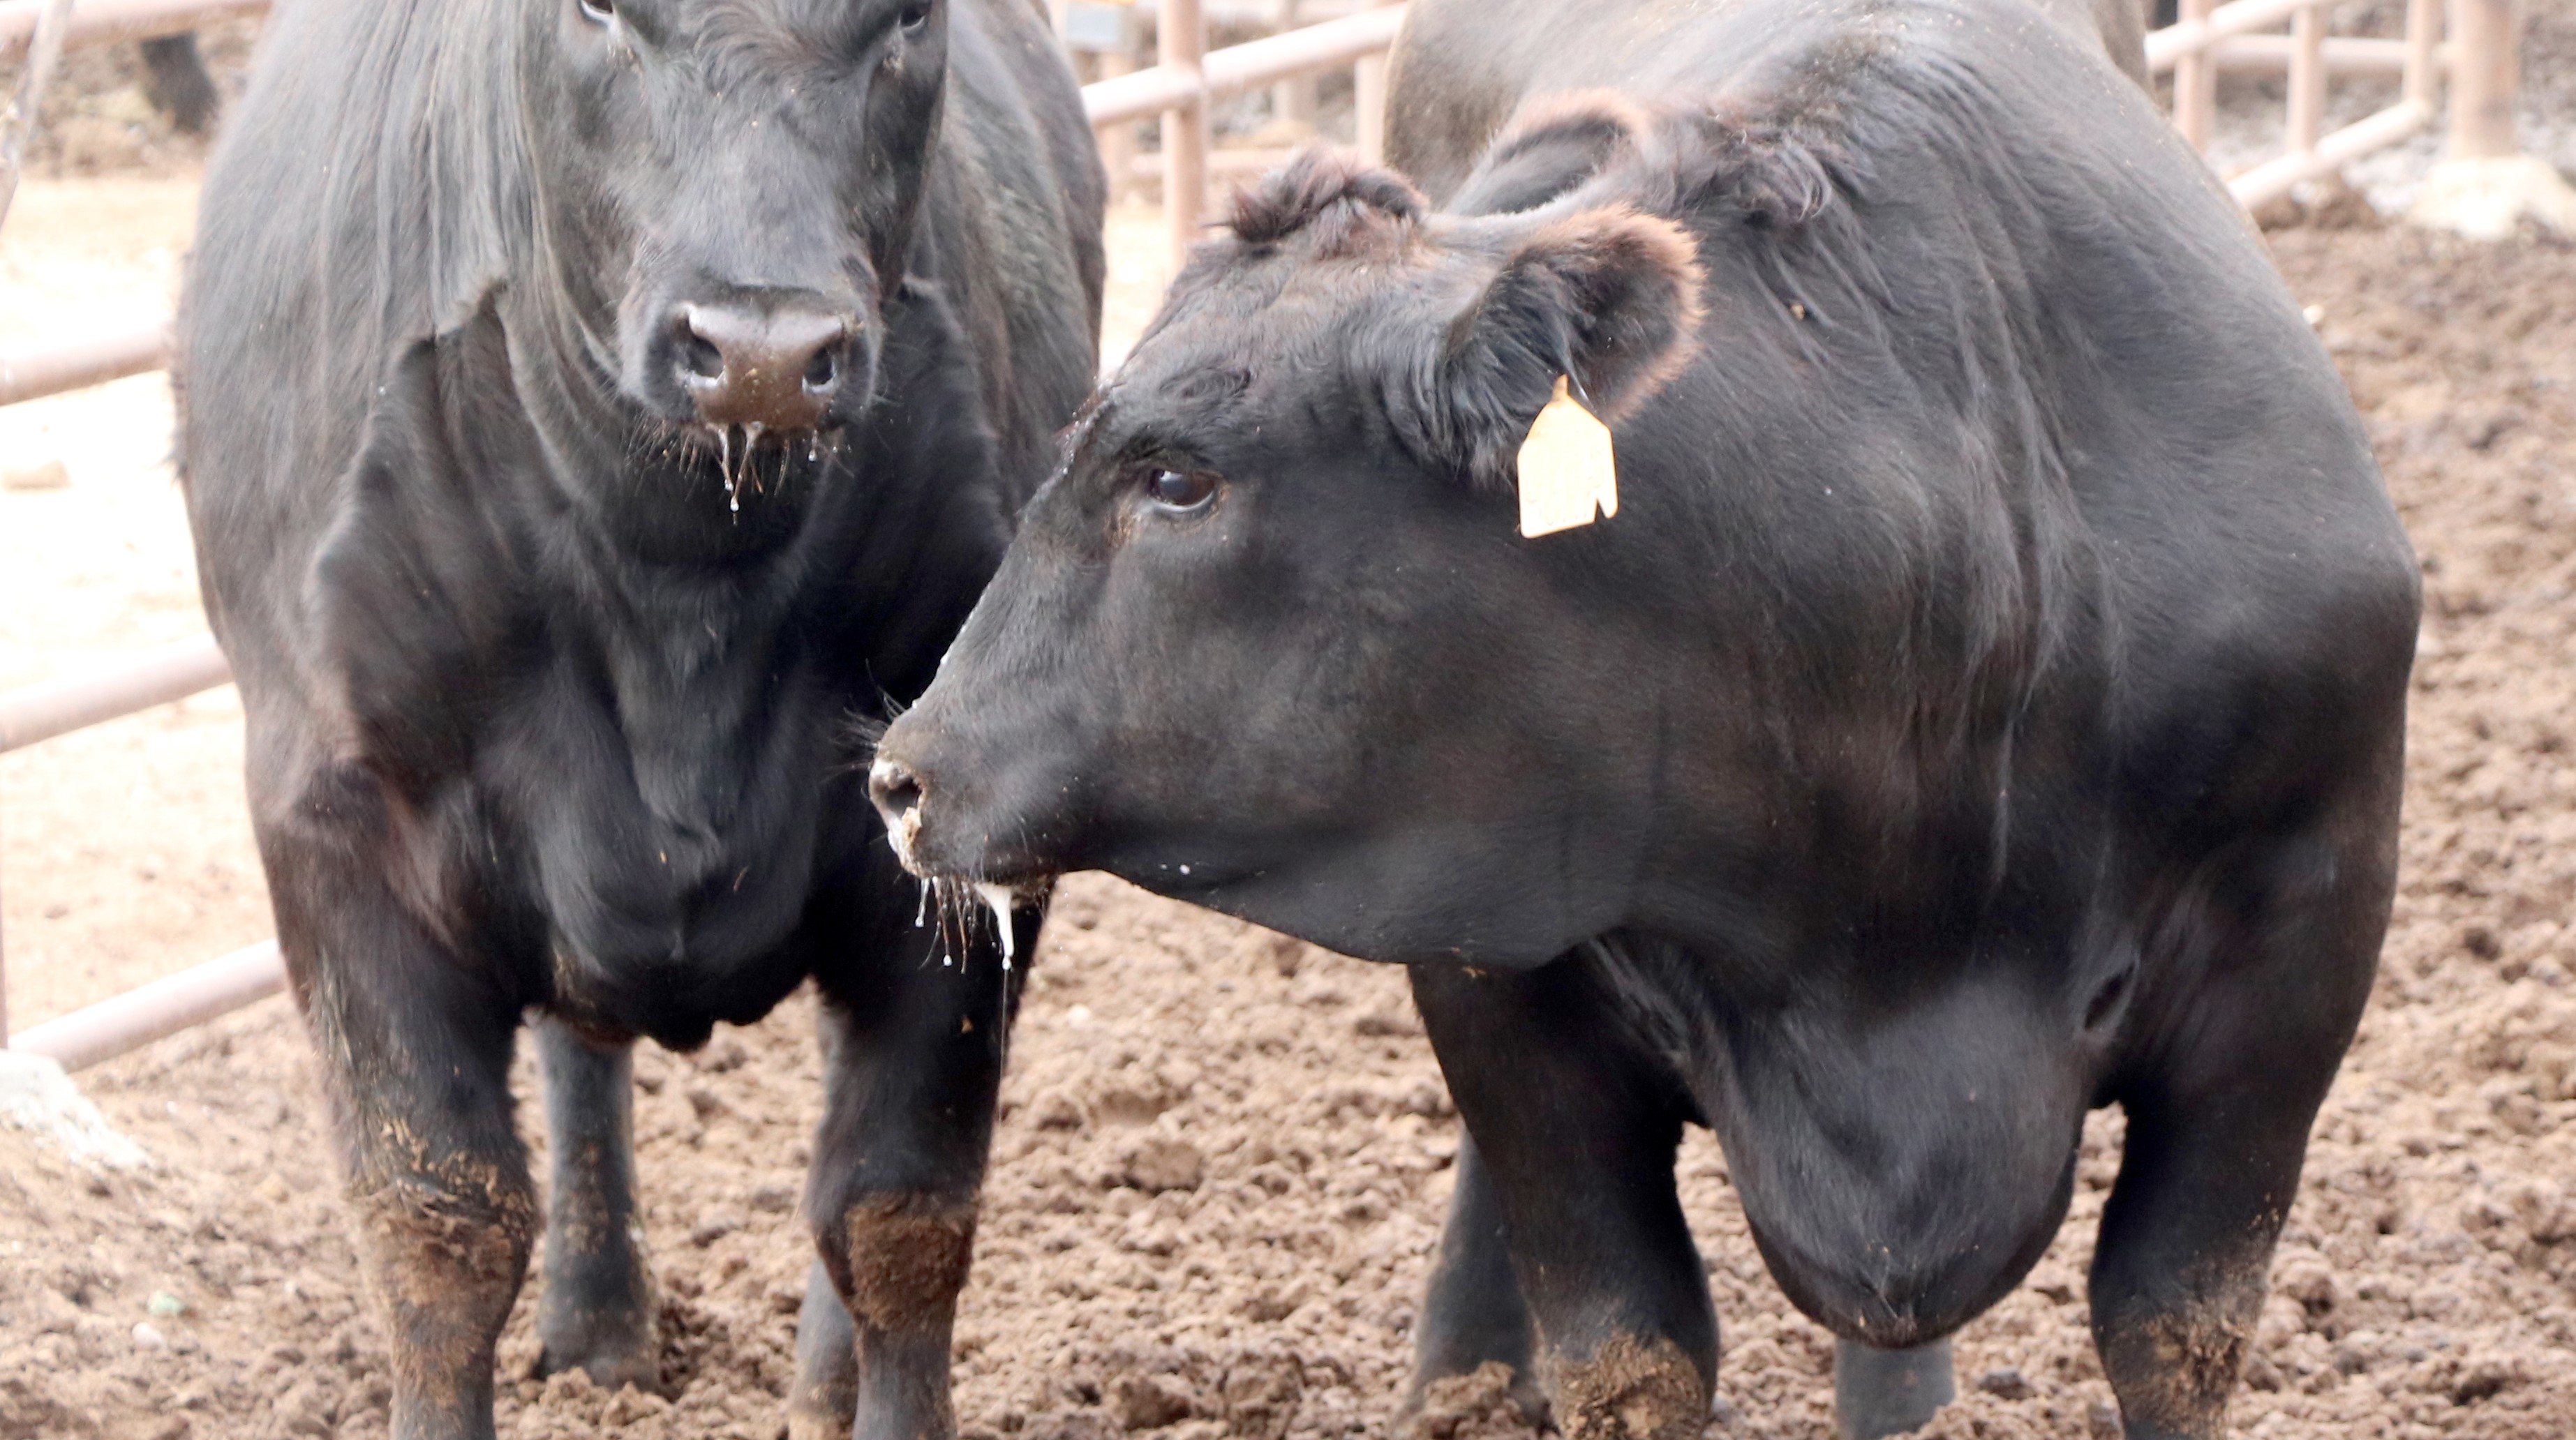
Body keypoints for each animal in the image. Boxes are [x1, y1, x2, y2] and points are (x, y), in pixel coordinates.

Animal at [175, 0, 1102, 1435]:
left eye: (908, 19)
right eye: (597, 12)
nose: (764, 353)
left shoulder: (962, 827)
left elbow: (897, 1212)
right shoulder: (331, 829)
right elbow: (438, 1225)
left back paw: (817, 1376)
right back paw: (599, 1324)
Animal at [862, 0, 2420, 1436]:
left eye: (1177, 479)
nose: (903, 776)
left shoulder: (2296, 956)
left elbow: (2172, 1327)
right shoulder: (1511, 981)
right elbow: (1627, 1344)